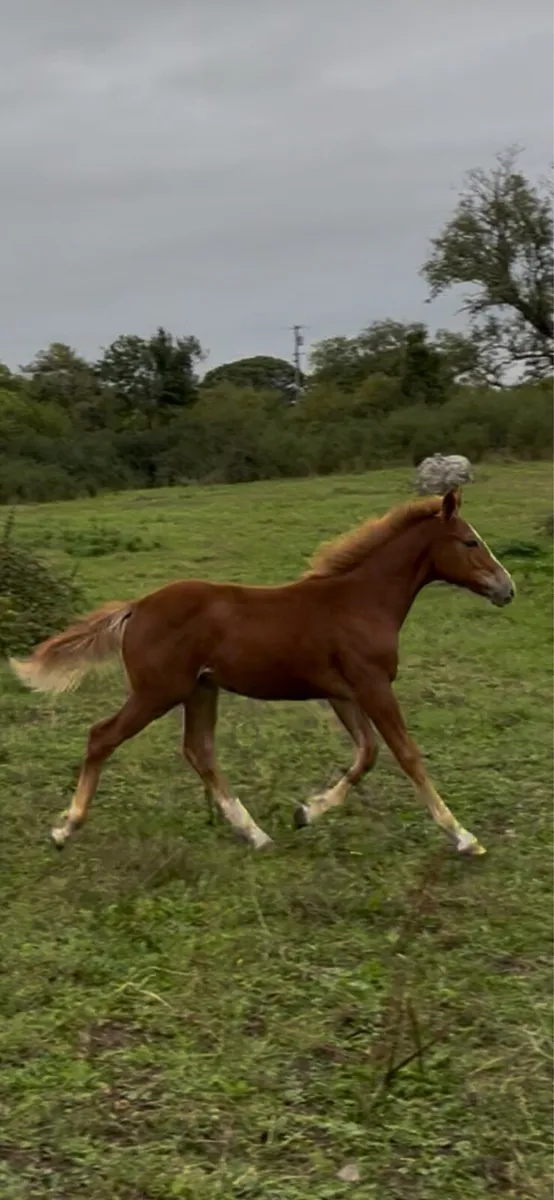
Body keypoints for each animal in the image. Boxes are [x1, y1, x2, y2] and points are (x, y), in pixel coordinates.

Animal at [9, 487, 514, 857]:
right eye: (470, 542)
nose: (507, 588)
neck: (361, 602)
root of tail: (136, 608)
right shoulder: (372, 685)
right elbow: (406, 754)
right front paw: (464, 837)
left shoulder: (343, 692)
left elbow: (367, 753)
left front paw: (306, 812)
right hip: (158, 691)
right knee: (102, 737)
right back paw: (66, 829)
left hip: (200, 689)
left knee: (199, 751)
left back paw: (255, 834)